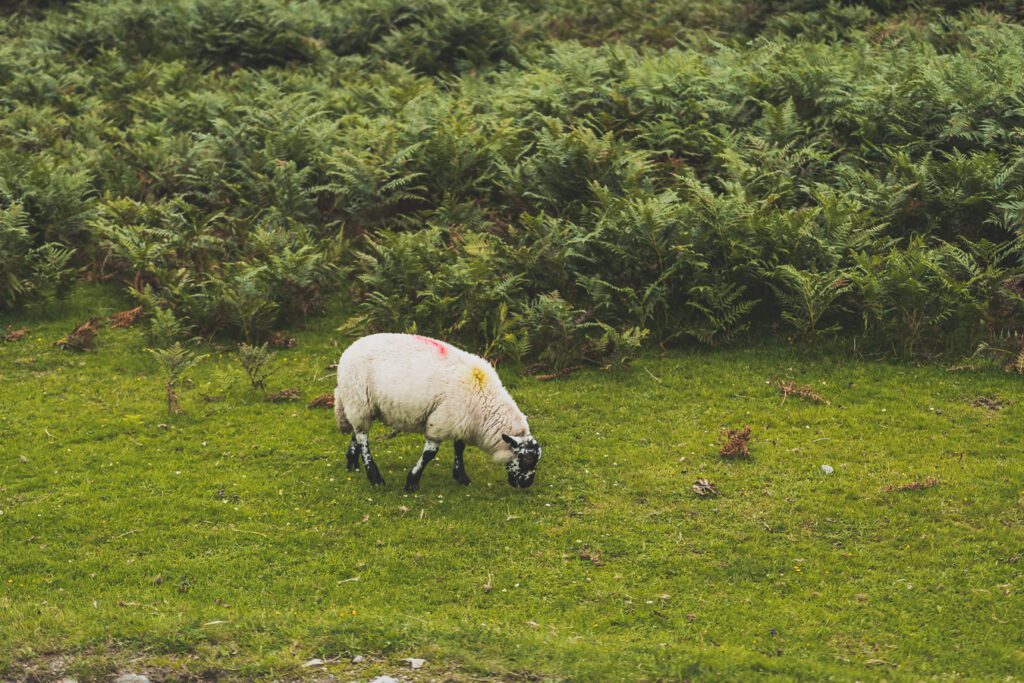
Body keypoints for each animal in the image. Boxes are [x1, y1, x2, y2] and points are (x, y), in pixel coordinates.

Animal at [335, 331, 544, 489]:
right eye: (527, 460)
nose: (526, 485)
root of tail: (349, 350)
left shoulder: (461, 421)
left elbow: (459, 447)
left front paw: (461, 476)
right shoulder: (441, 422)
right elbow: (430, 454)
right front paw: (412, 482)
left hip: (362, 406)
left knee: (357, 433)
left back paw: (352, 463)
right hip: (359, 400)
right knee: (363, 438)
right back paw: (374, 477)